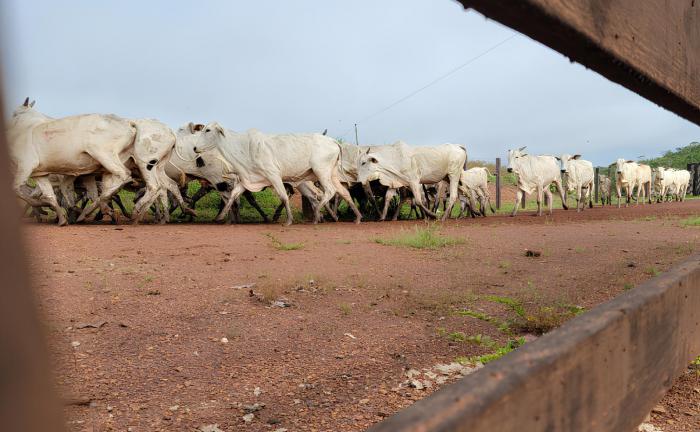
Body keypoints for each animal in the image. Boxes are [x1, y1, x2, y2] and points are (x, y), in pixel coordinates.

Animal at [191, 120, 360, 223]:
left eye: (208, 130)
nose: (194, 148)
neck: (243, 148)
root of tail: (333, 141)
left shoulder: (273, 175)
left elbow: (283, 196)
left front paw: (289, 220)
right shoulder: (247, 179)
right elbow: (233, 195)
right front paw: (220, 217)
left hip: (321, 172)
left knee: (328, 192)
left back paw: (318, 214)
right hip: (331, 175)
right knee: (344, 193)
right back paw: (355, 217)